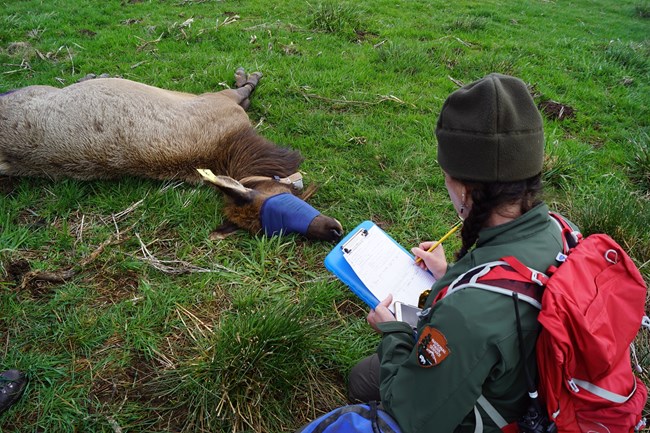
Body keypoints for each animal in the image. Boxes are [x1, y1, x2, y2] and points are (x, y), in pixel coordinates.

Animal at [0, 69, 344, 241]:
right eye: (283, 212)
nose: (332, 231)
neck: (229, 145)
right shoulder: (220, 100)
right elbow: (245, 89)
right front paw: (249, 76)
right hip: (34, 90)